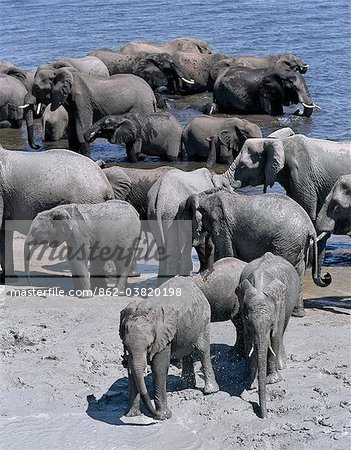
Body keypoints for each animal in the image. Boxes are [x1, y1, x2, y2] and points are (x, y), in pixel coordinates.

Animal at [24, 68, 157, 156]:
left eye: (37, 88)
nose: (37, 146)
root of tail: (152, 95)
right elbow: (72, 129)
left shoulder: (82, 100)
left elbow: (80, 127)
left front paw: (86, 157)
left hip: (141, 105)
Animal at [121, 276, 220, 420]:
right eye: (125, 346)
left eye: (149, 345)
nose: (154, 414)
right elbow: (131, 370)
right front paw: (131, 415)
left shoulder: (163, 337)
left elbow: (159, 368)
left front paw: (164, 416)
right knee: (186, 353)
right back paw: (184, 386)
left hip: (204, 319)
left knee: (202, 350)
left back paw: (210, 391)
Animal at [182, 189, 332, 316]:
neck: (204, 196)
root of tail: (310, 227)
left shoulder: (222, 227)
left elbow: (226, 254)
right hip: (297, 243)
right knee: (298, 272)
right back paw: (297, 314)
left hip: (286, 241)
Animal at [236, 253, 300, 418]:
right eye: (249, 323)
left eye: (271, 324)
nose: (264, 416)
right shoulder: (243, 308)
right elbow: (248, 341)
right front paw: (250, 383)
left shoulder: (280, 305)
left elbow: (275, 337)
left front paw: (272, 381)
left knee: (282, 332)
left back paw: (281, 366)